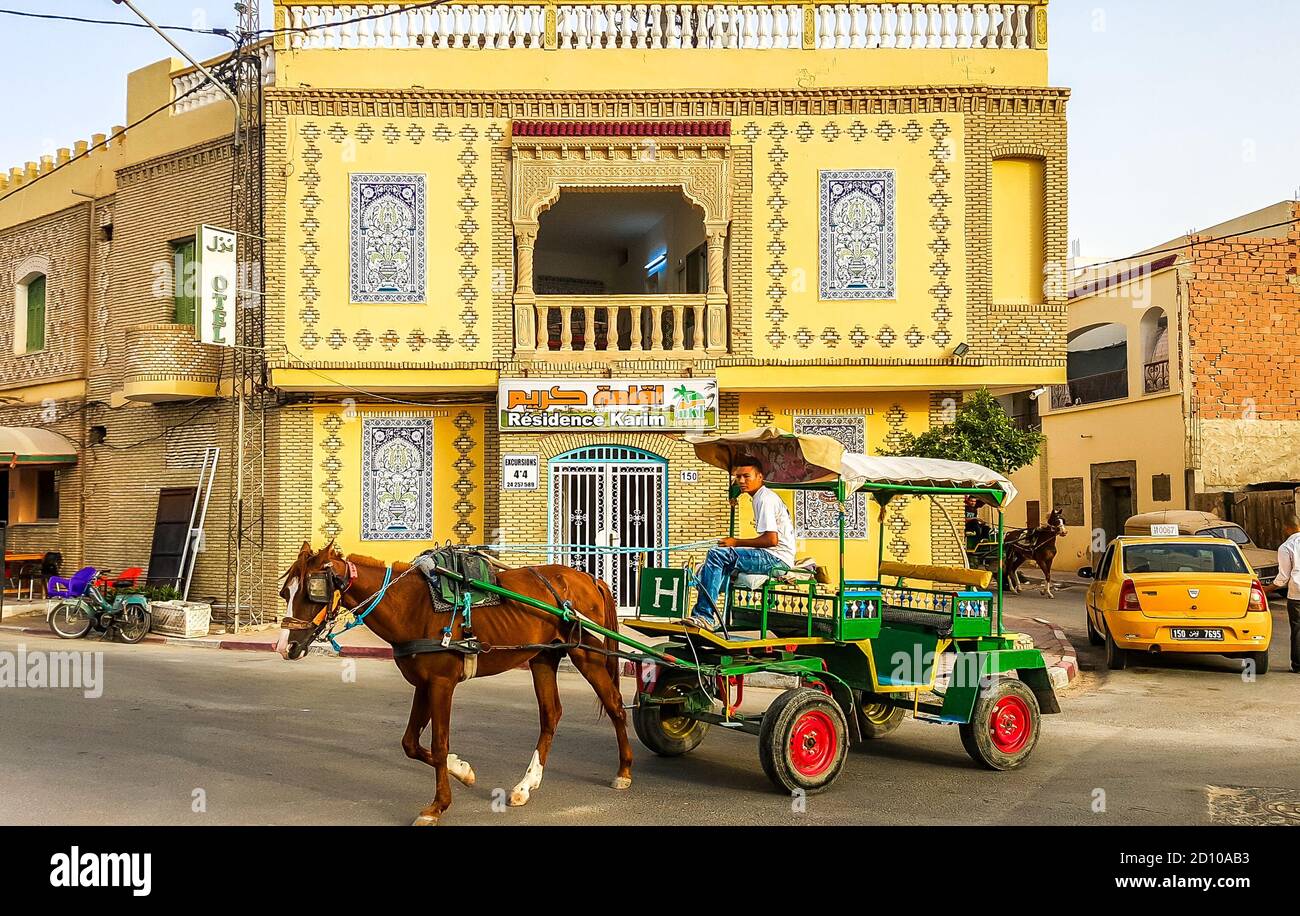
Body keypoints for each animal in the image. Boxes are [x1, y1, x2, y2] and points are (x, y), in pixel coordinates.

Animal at [276, 542, 633, 826]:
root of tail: (589, 578)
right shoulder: (423, 684)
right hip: (544, 657)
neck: (412, 604)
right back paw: (526, 785)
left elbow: (438, 743)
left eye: (313, 590)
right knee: (551, 714)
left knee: (614, 704)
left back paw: (624, 772)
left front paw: (438, 806)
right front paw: (462, 770)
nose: (284, 646)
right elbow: (410, 744)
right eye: (285, 592)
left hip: (586, 651)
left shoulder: (441, 683)